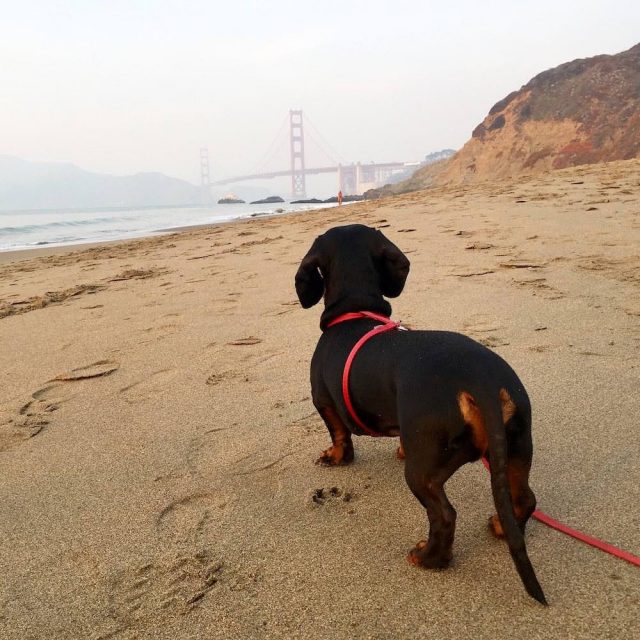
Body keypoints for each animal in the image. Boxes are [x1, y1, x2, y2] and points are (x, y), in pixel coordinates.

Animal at [296, 225, 544, 604]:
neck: (356, 313)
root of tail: (481, 381)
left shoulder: (322, 400)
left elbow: (338, 434)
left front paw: (335, 457)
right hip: (517, 446)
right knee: (525, 498)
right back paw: (502, 526)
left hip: (423, 472)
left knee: (445, 516)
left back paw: (429, 558)